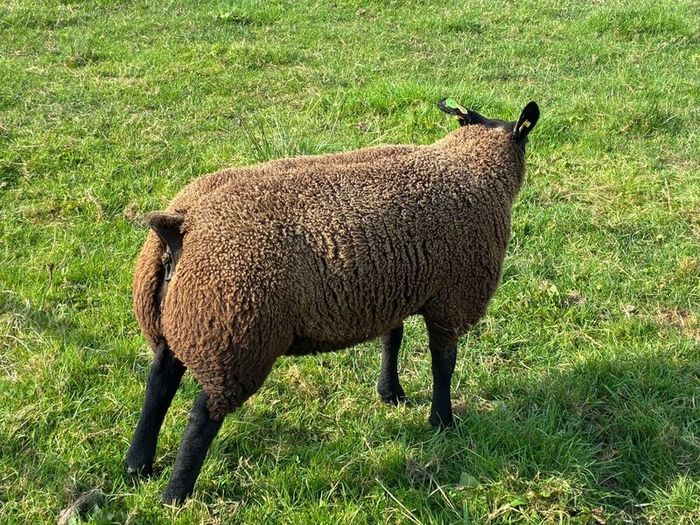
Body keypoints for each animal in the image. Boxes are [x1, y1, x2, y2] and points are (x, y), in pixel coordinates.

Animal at [126, 99, 540, 503]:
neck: (470, 165)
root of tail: (182, 224)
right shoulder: (452, 300)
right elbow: (444, 364)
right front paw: (442, 421)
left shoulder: (391, 291)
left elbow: (392, 340)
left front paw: (391, 394)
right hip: (233, 334)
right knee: (201, 416)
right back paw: (175, 495)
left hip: (181, 320)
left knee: (158, 383)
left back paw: (137, 465)